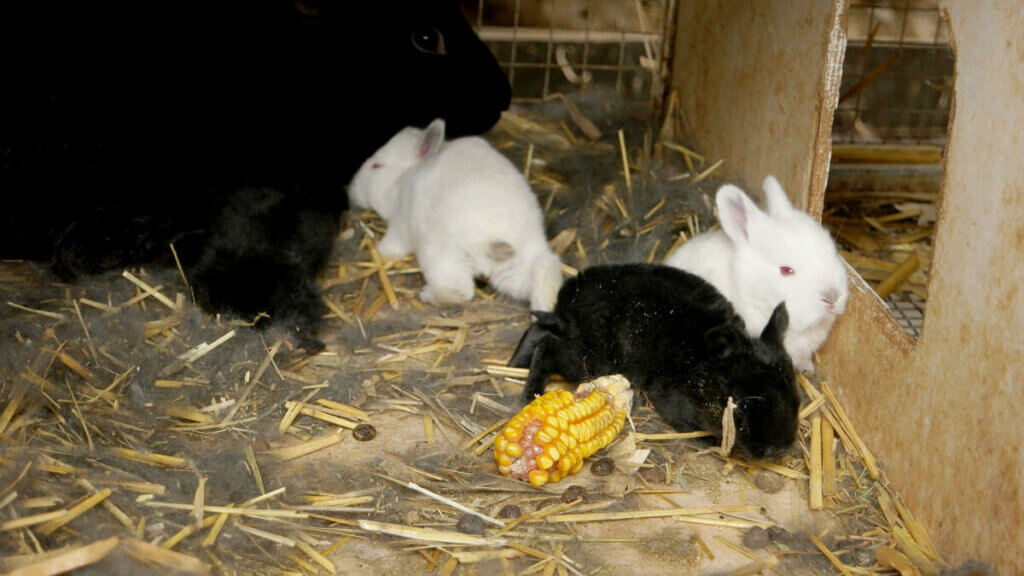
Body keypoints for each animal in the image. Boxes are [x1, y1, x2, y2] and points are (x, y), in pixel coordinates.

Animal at [348, 117, 565, 311]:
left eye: (376, 166)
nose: (351, 190)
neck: (401, 179)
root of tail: (497, 238)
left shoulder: (401, 222)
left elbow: (394, 245)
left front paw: (380, 251)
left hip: (442, 255)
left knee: (460, 290)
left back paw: (429, 295)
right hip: (521, 264)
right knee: (546, 271)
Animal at [507, 264, 802, 457]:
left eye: (797, 401)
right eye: (742, 406)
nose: (777, 450)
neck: (700, 363)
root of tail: (570, 293)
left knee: (541, 328)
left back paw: (514, 364)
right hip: (587, 360)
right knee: (547, 345)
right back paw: (529, 392)